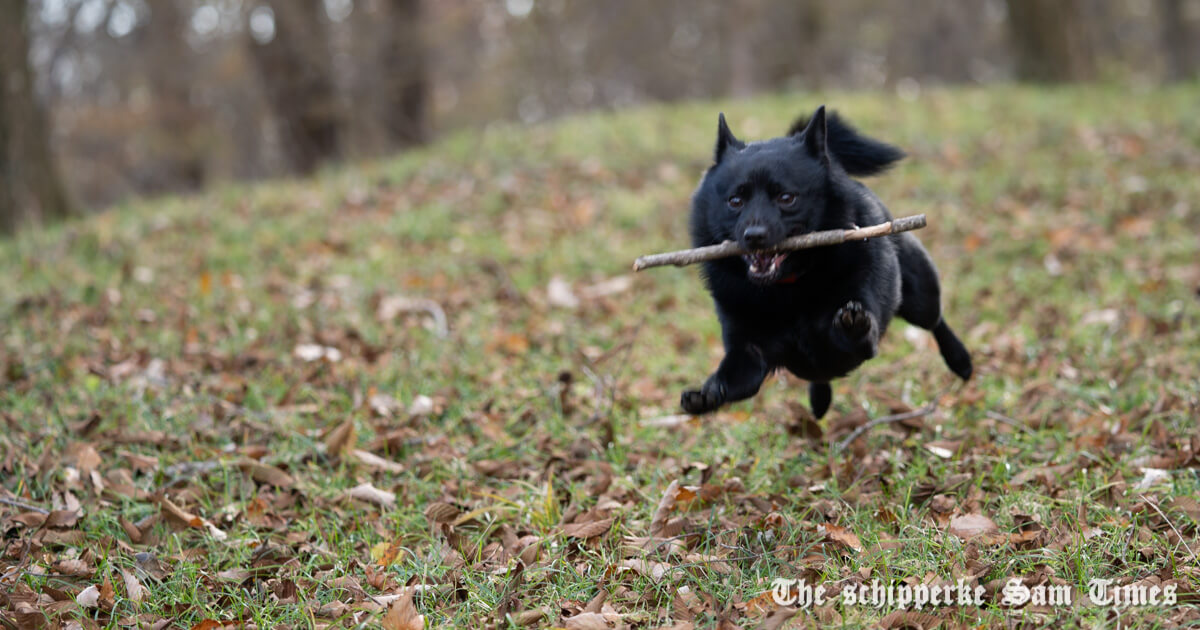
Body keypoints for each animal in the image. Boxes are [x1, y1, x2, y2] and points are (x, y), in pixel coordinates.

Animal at [681, 105, 969, 417]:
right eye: (735, 201)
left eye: (787, 197)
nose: (754, 235)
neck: (787, 289)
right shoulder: (748, 355)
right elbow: (731, 376)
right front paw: (705, 395)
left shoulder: (861, 342)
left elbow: (856, 331)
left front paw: (852, 323)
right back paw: (820, 400)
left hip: (919, 297)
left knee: (936, 321)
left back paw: (961, 361)